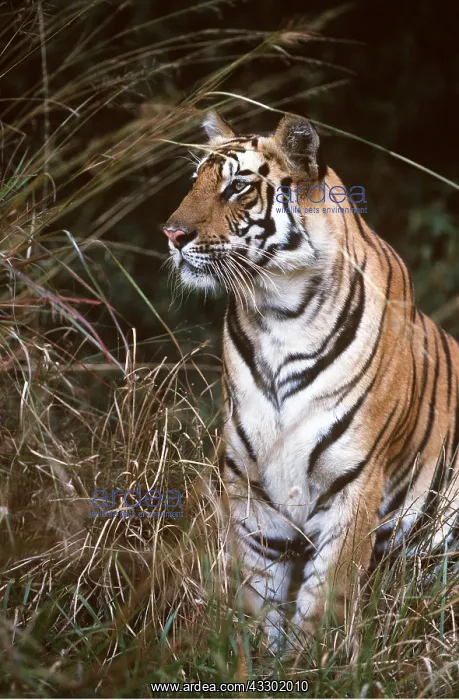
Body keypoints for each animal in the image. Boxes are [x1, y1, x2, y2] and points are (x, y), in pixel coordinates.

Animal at [163, 109, 459, 652]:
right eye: (194, 181)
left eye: (237, 186)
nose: (171, 234)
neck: (279, 311)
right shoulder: (250, 487)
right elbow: (257, 598)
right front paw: (256, 660)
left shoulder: (353, 483)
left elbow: (323, 604)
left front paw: (312, 663)